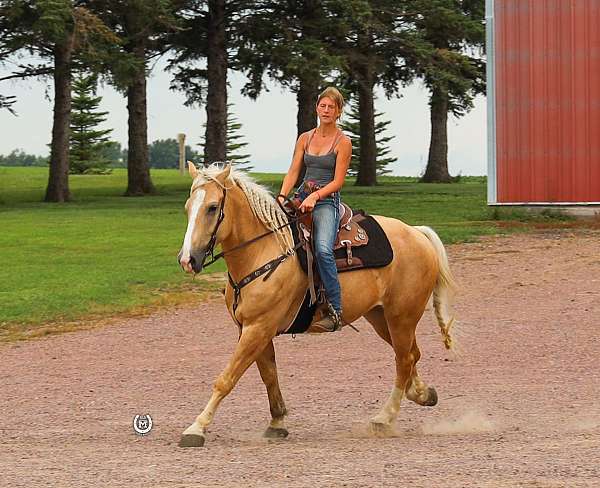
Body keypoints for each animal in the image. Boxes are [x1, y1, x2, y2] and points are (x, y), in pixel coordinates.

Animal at [176, 163, 458, 446]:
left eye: (212, 207)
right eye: (188, 206)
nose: (187, 260)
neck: (264, 251)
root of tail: (416, 232)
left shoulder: (258, 328)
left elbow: (226, 378)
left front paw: (196, 428)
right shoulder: (252, 329)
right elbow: (269, 376)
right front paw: (277, 422)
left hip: (402, 317)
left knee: (404, 360)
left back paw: (384, 418)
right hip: (381, 317)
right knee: (412, 355)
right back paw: (423, 394)